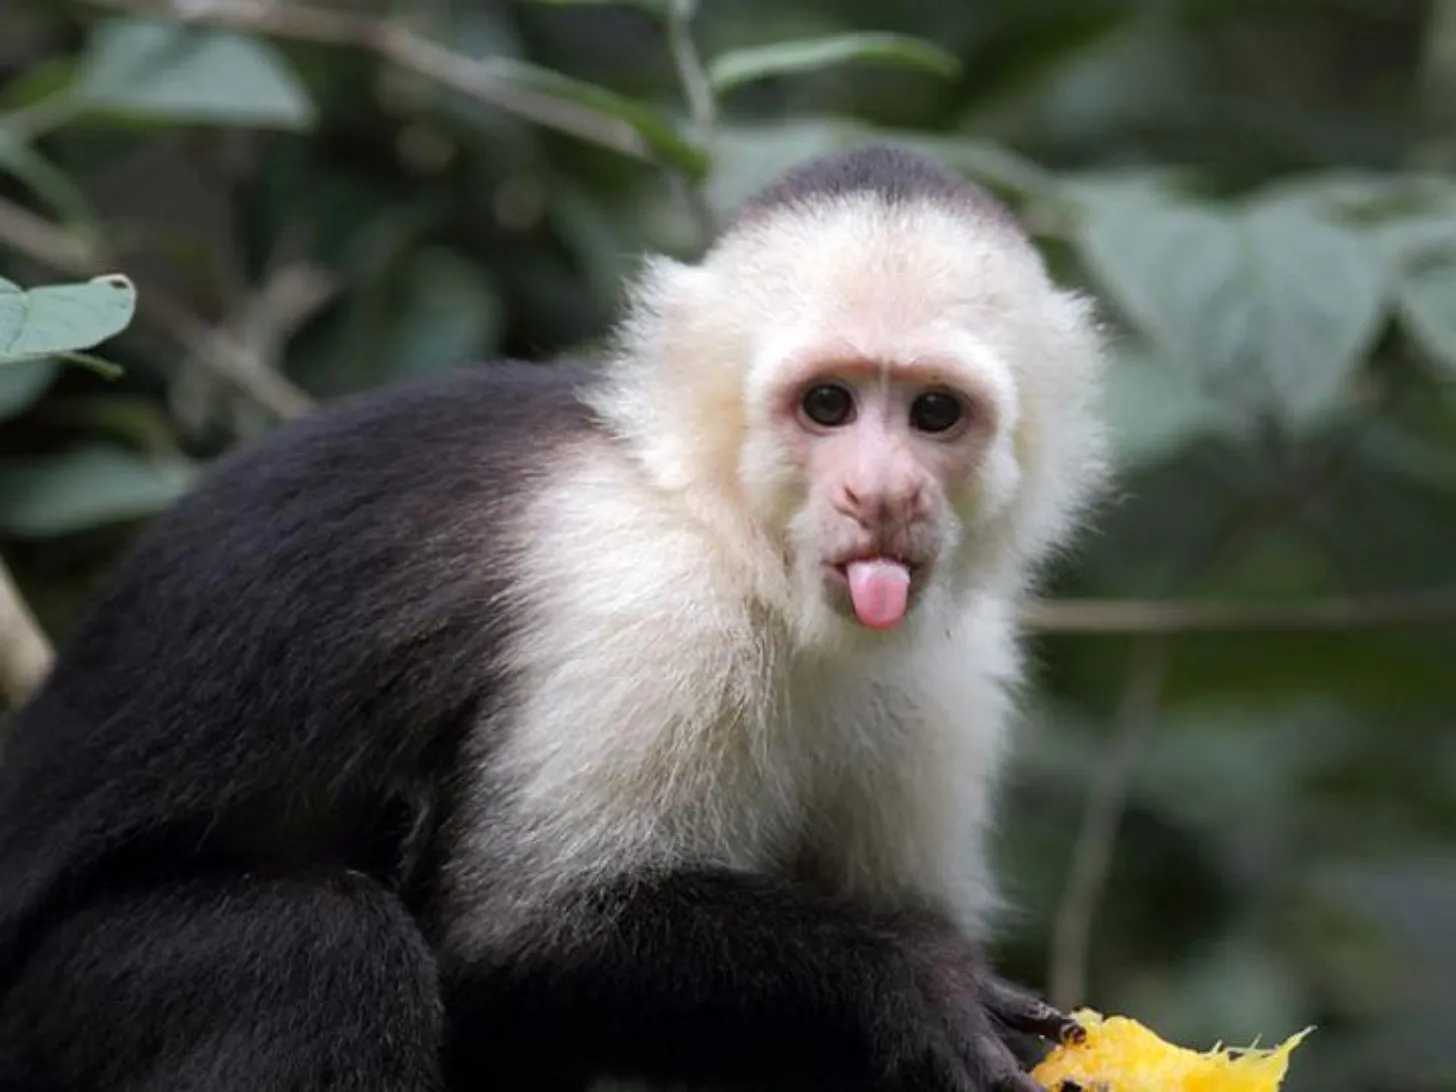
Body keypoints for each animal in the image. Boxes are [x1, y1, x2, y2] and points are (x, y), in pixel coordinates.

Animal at [0, 143, 1109, 1092]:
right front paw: (906, 974)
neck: (740, 547)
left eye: (934, 414)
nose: (879, 497)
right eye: (828, 405)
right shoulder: (647, 599)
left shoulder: (953, 670)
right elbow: (513, 937)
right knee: (320, 954)